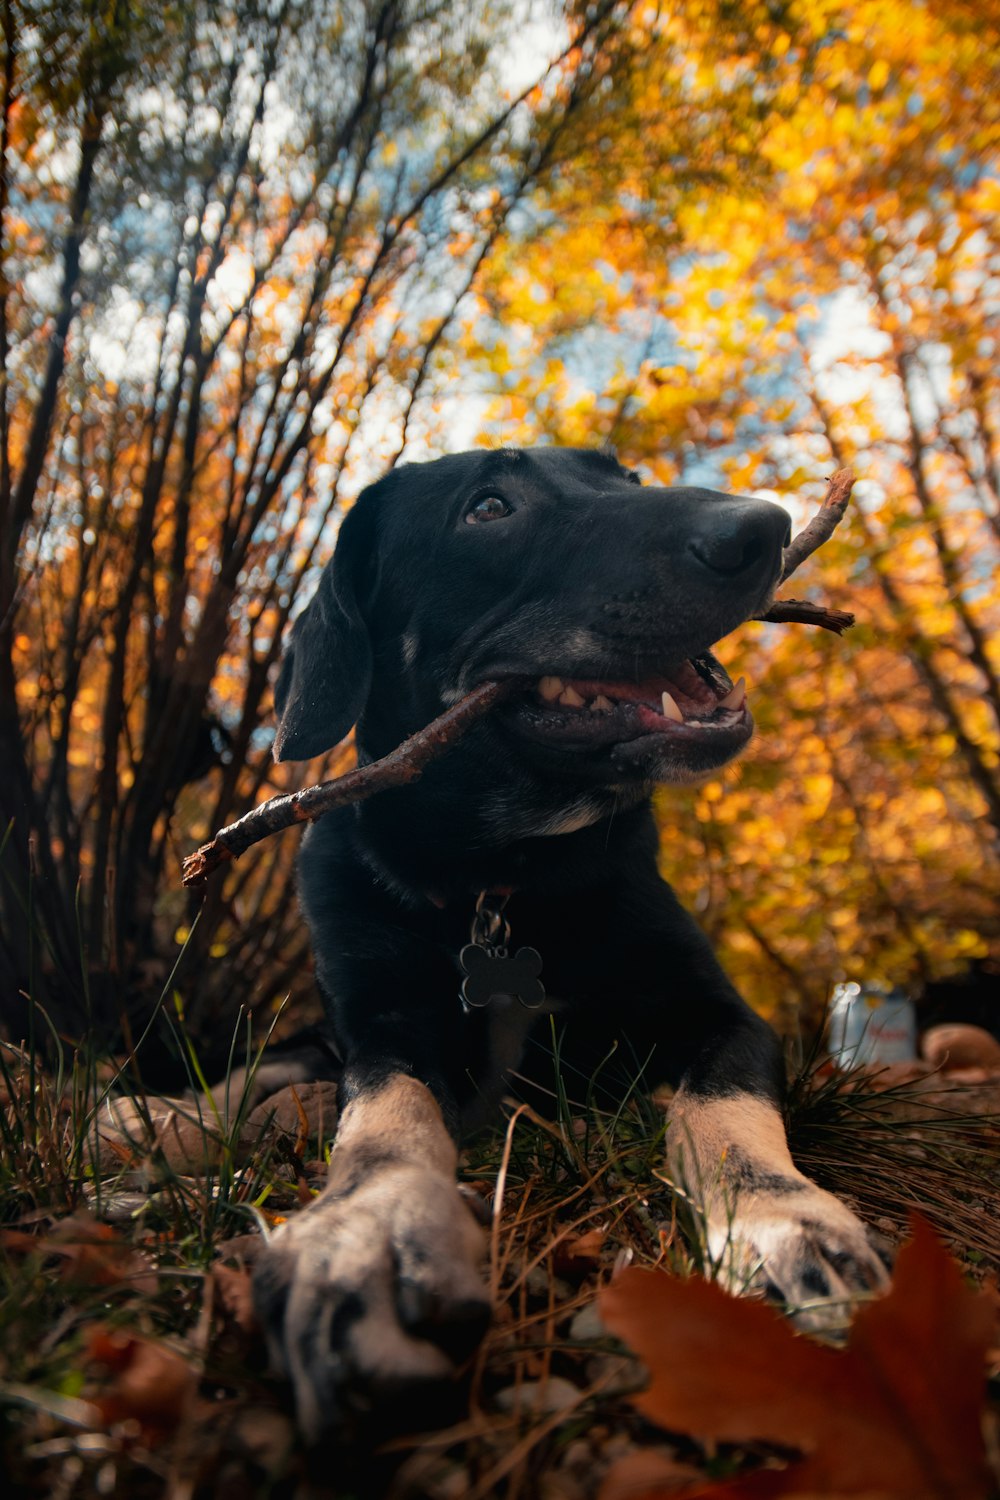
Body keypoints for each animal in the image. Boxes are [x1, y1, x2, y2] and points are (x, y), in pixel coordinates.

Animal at [251, 444, 893, 1440]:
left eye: (624, 479)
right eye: (487, 508)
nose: (763, 527)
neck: (505, 878)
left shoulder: (721, 1016)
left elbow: (723, 1114)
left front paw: (784, 1221)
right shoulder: (382, 1028)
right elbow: (384, 1122)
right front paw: (367, 1234)